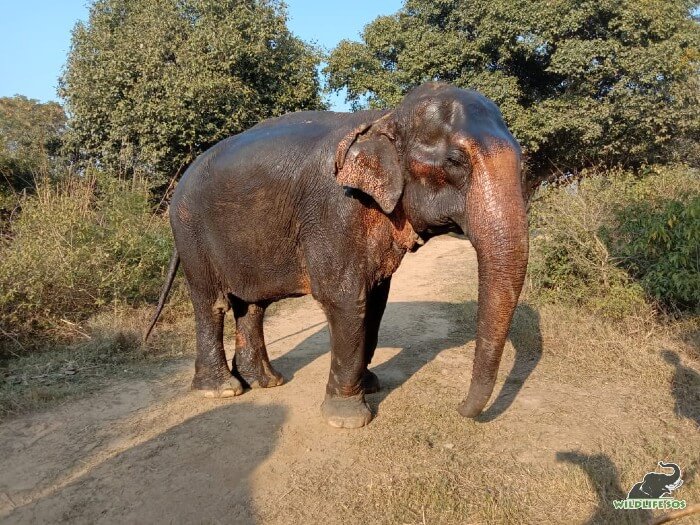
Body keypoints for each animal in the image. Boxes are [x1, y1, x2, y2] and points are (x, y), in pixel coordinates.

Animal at [146, 81, 532, 426]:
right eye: (455, 161)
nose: (458, 409)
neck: (386, 117)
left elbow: (375, 299)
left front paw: (371, 385)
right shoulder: (334, 209)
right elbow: (346, 299)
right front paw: (348, 418)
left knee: (252, 305)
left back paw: (266, 381)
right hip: (190, 230)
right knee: (211, 302)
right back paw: (223, 389)